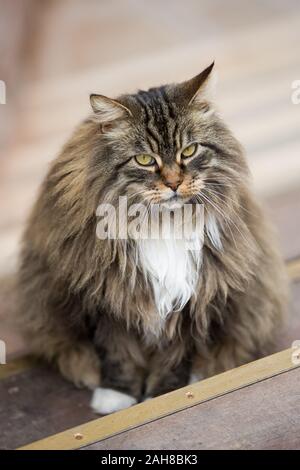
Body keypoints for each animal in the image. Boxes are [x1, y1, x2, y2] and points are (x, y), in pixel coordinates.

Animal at [17, 63, 288, 414]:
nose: (173, 183)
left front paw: (164, 395)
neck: (161, 222)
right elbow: (117, 355)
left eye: (189, 151)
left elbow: (175, 357)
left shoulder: (193, 295)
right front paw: (115, 398)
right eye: (144, 160)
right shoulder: (107, 298)